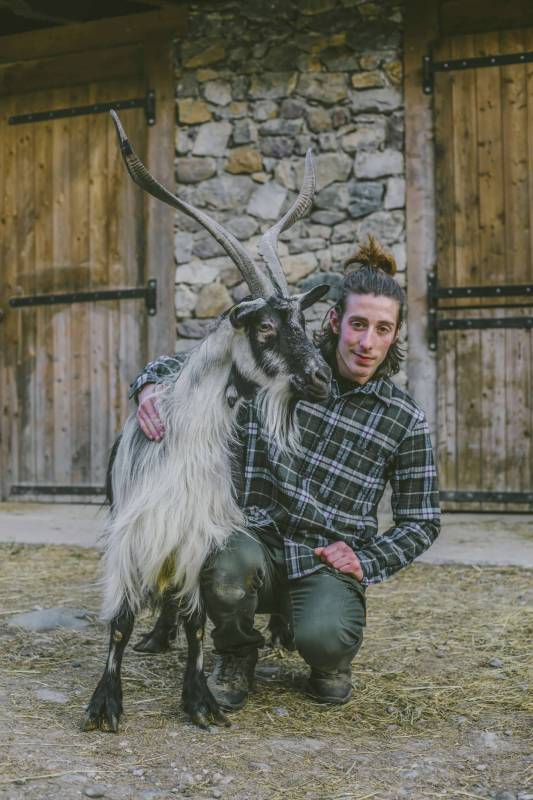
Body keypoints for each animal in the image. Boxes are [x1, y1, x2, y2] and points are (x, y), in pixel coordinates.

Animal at [82, 111, 331, 733]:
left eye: (303, 320)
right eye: (264, 327)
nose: (322, 380)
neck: (181, 442)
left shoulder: (198, 536)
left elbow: (199, 620)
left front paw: (200, 699)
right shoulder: (133, 533)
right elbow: (118, 620)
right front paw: (104, 703)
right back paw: (154, 637)